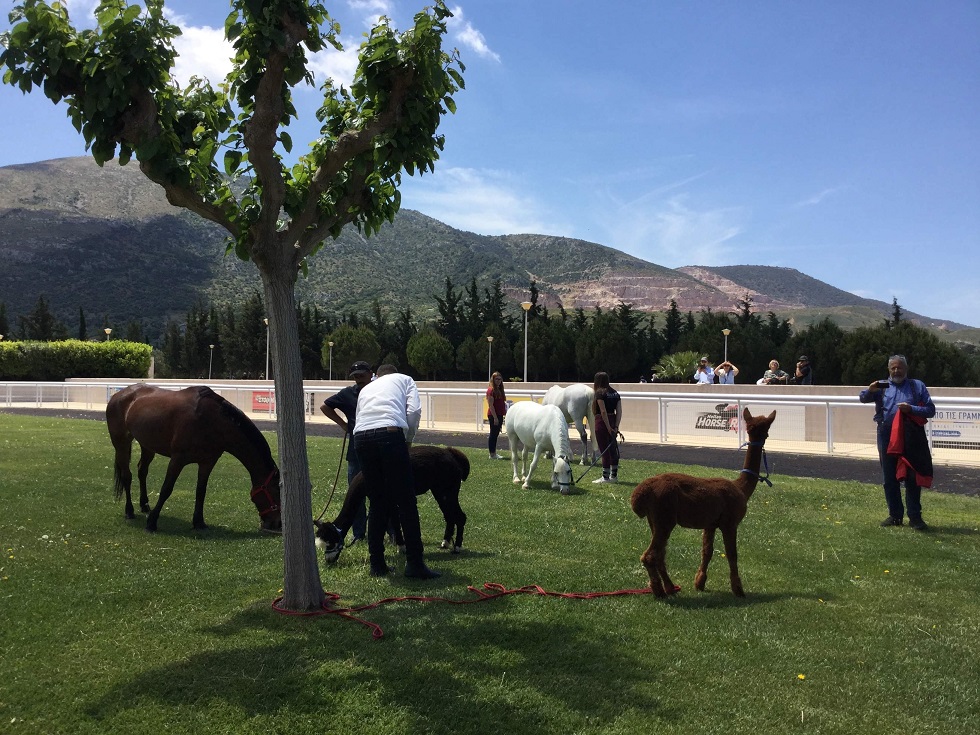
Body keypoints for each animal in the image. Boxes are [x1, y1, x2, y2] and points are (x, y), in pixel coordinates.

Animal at [108, 386, 284, 536]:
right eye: (276, 492)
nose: (278, 524)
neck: (210, 420)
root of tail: (118, 395)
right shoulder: (177, 460)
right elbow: (166, 489)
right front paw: (152, 523)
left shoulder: (207, 462)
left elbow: (201, 491)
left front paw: (199, 522)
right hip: (121, 443)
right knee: (127, 476)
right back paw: (129, 511)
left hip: (147, 445)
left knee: (142, 471)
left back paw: (144, 505)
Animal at [632, 408, 776, 600]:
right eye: (767, 429)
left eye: (761, 428)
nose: (764, 437)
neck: (741, 488)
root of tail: (640, 493)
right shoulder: (730, 522)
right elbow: (732, 554)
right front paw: (738, 589)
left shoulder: (711, 523)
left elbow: (707, 551)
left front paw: (699, 582)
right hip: (664, 517)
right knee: (650, 555)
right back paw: (660, 591)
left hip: (654, 519)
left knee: (660, 554)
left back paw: (669, 587)